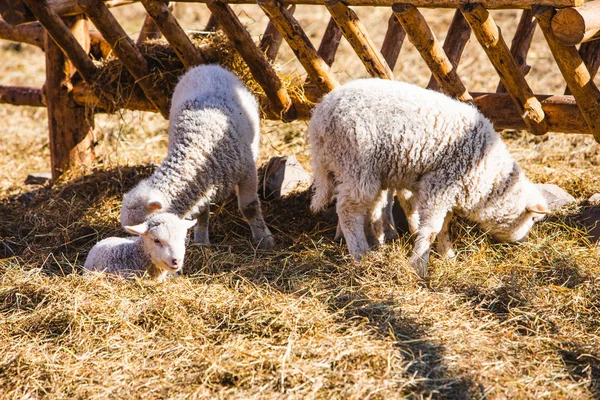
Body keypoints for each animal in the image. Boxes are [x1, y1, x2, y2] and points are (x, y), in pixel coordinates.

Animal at [121, 64, 274, 248]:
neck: (196, 151)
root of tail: (205, 67)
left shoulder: (248, 172)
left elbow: (249, 207)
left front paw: (264, 240)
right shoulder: (202, 185)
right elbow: (201, 213)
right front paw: (201, 241)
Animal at [312, 78, 552, 278]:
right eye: (532, 218)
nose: (522, 241)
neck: (488, 177)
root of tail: (320, 115)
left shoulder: (443, 190)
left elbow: (444, 226)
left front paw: (447, 254)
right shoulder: (440, 185)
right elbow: (432, 229)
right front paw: (419, 266)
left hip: (355, 169)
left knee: (364, 207)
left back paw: (372, 243)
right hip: (356, 164)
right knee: (348, 210)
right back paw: (360, 253)